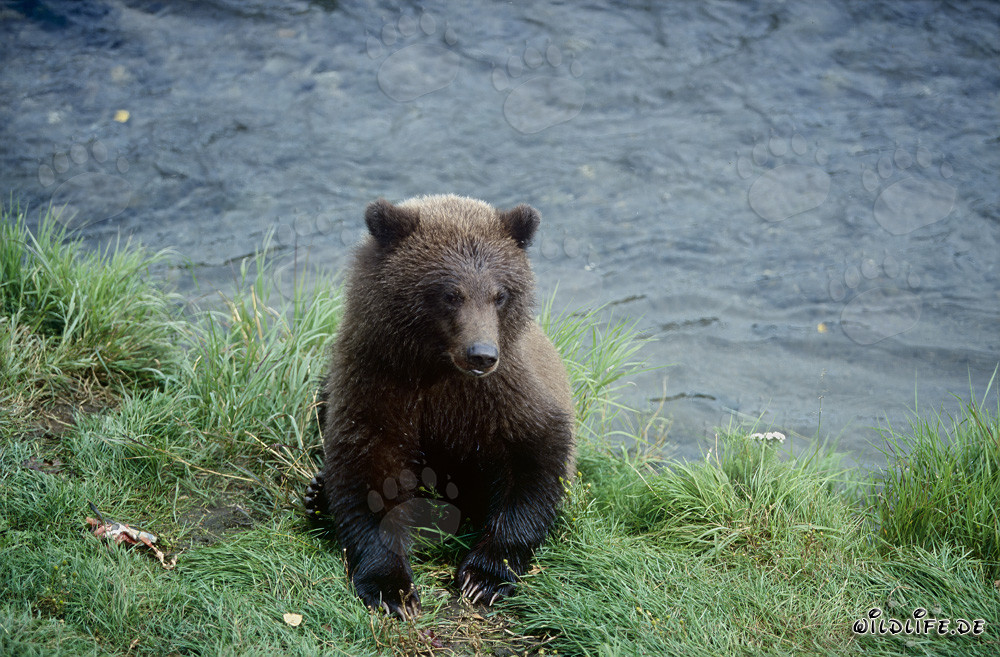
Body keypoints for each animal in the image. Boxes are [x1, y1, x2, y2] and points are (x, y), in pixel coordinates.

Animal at [304, 194, 575, 619]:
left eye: (500, 294)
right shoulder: (377, 380)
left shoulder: (504, 395)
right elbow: (369, 466)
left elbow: (535, 458)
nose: (482, 354)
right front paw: (392, 589)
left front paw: (484, 577)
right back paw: (316, 495)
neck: (436, 368)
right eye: (451, 293)